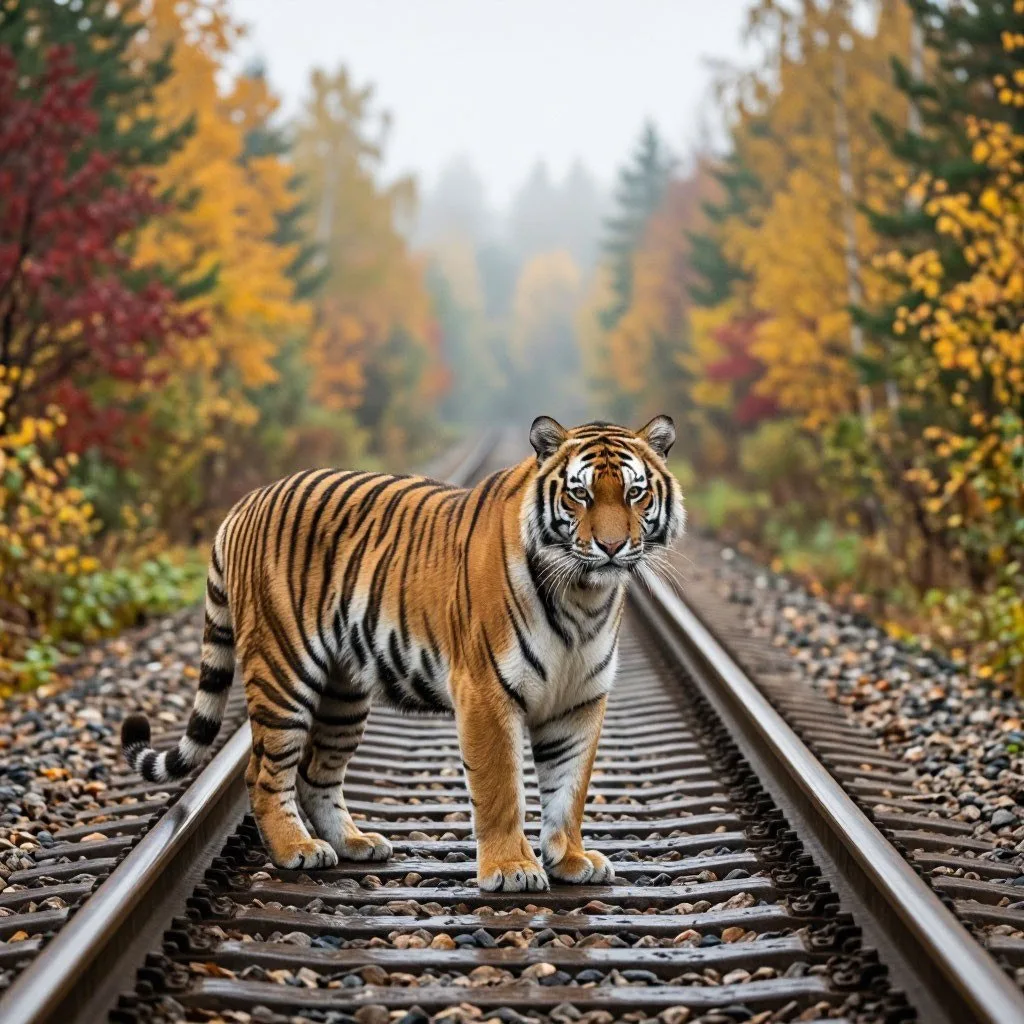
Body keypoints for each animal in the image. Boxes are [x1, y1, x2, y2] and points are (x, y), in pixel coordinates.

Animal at [121, 415, 684, 892]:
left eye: (634, 493)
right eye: (579, 494)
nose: (611, 547)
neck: (584, 597)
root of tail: (246, 501)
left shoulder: (578, 700)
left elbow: (569, 790)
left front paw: (570, 859)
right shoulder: (485, 692)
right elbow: (502, 788)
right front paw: (511, 869)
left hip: (343, 693)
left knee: (315, 773)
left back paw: (354, 842)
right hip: (284, 672)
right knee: (263, 772)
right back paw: (297, 849)